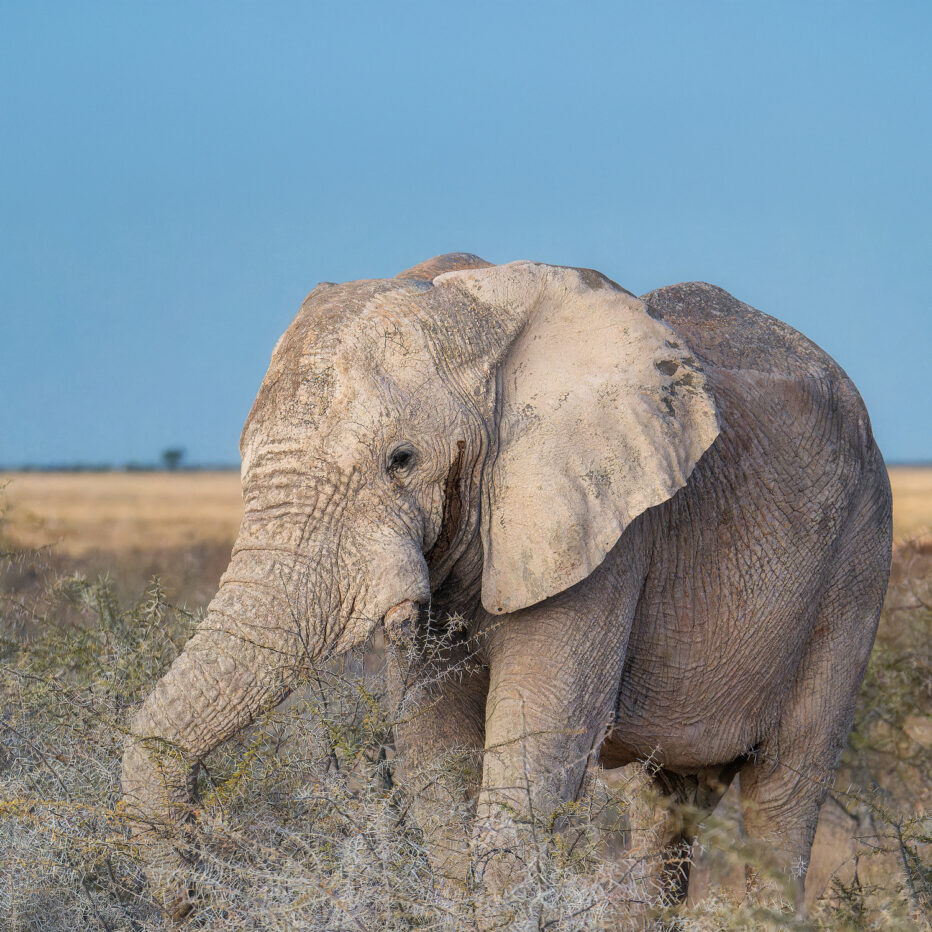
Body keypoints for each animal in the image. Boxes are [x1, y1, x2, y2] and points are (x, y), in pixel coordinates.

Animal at [120, 253, 892, 916]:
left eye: (401, 459)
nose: (193, 898)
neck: (478, 314)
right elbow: (435, 763)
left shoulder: (608, 538)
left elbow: (531, 763)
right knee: (663, 804)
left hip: (856, 566)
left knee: (784, 793)